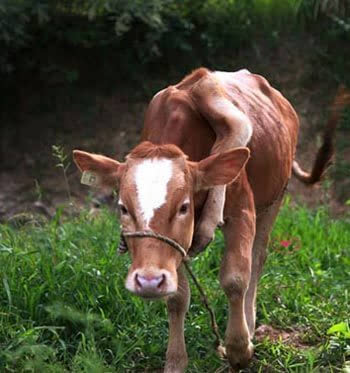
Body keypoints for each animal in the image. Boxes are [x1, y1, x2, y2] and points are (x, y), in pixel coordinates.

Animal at [73, 68, 348, 370]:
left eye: (183, 207)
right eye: (123, 208)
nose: (148, 281)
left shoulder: (242, 212)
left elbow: (235, 278)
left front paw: (238, 348)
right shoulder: (175, 247)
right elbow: (177, 298)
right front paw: (175, 361)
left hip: (275, 197)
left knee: (257, 258)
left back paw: (250, 325)